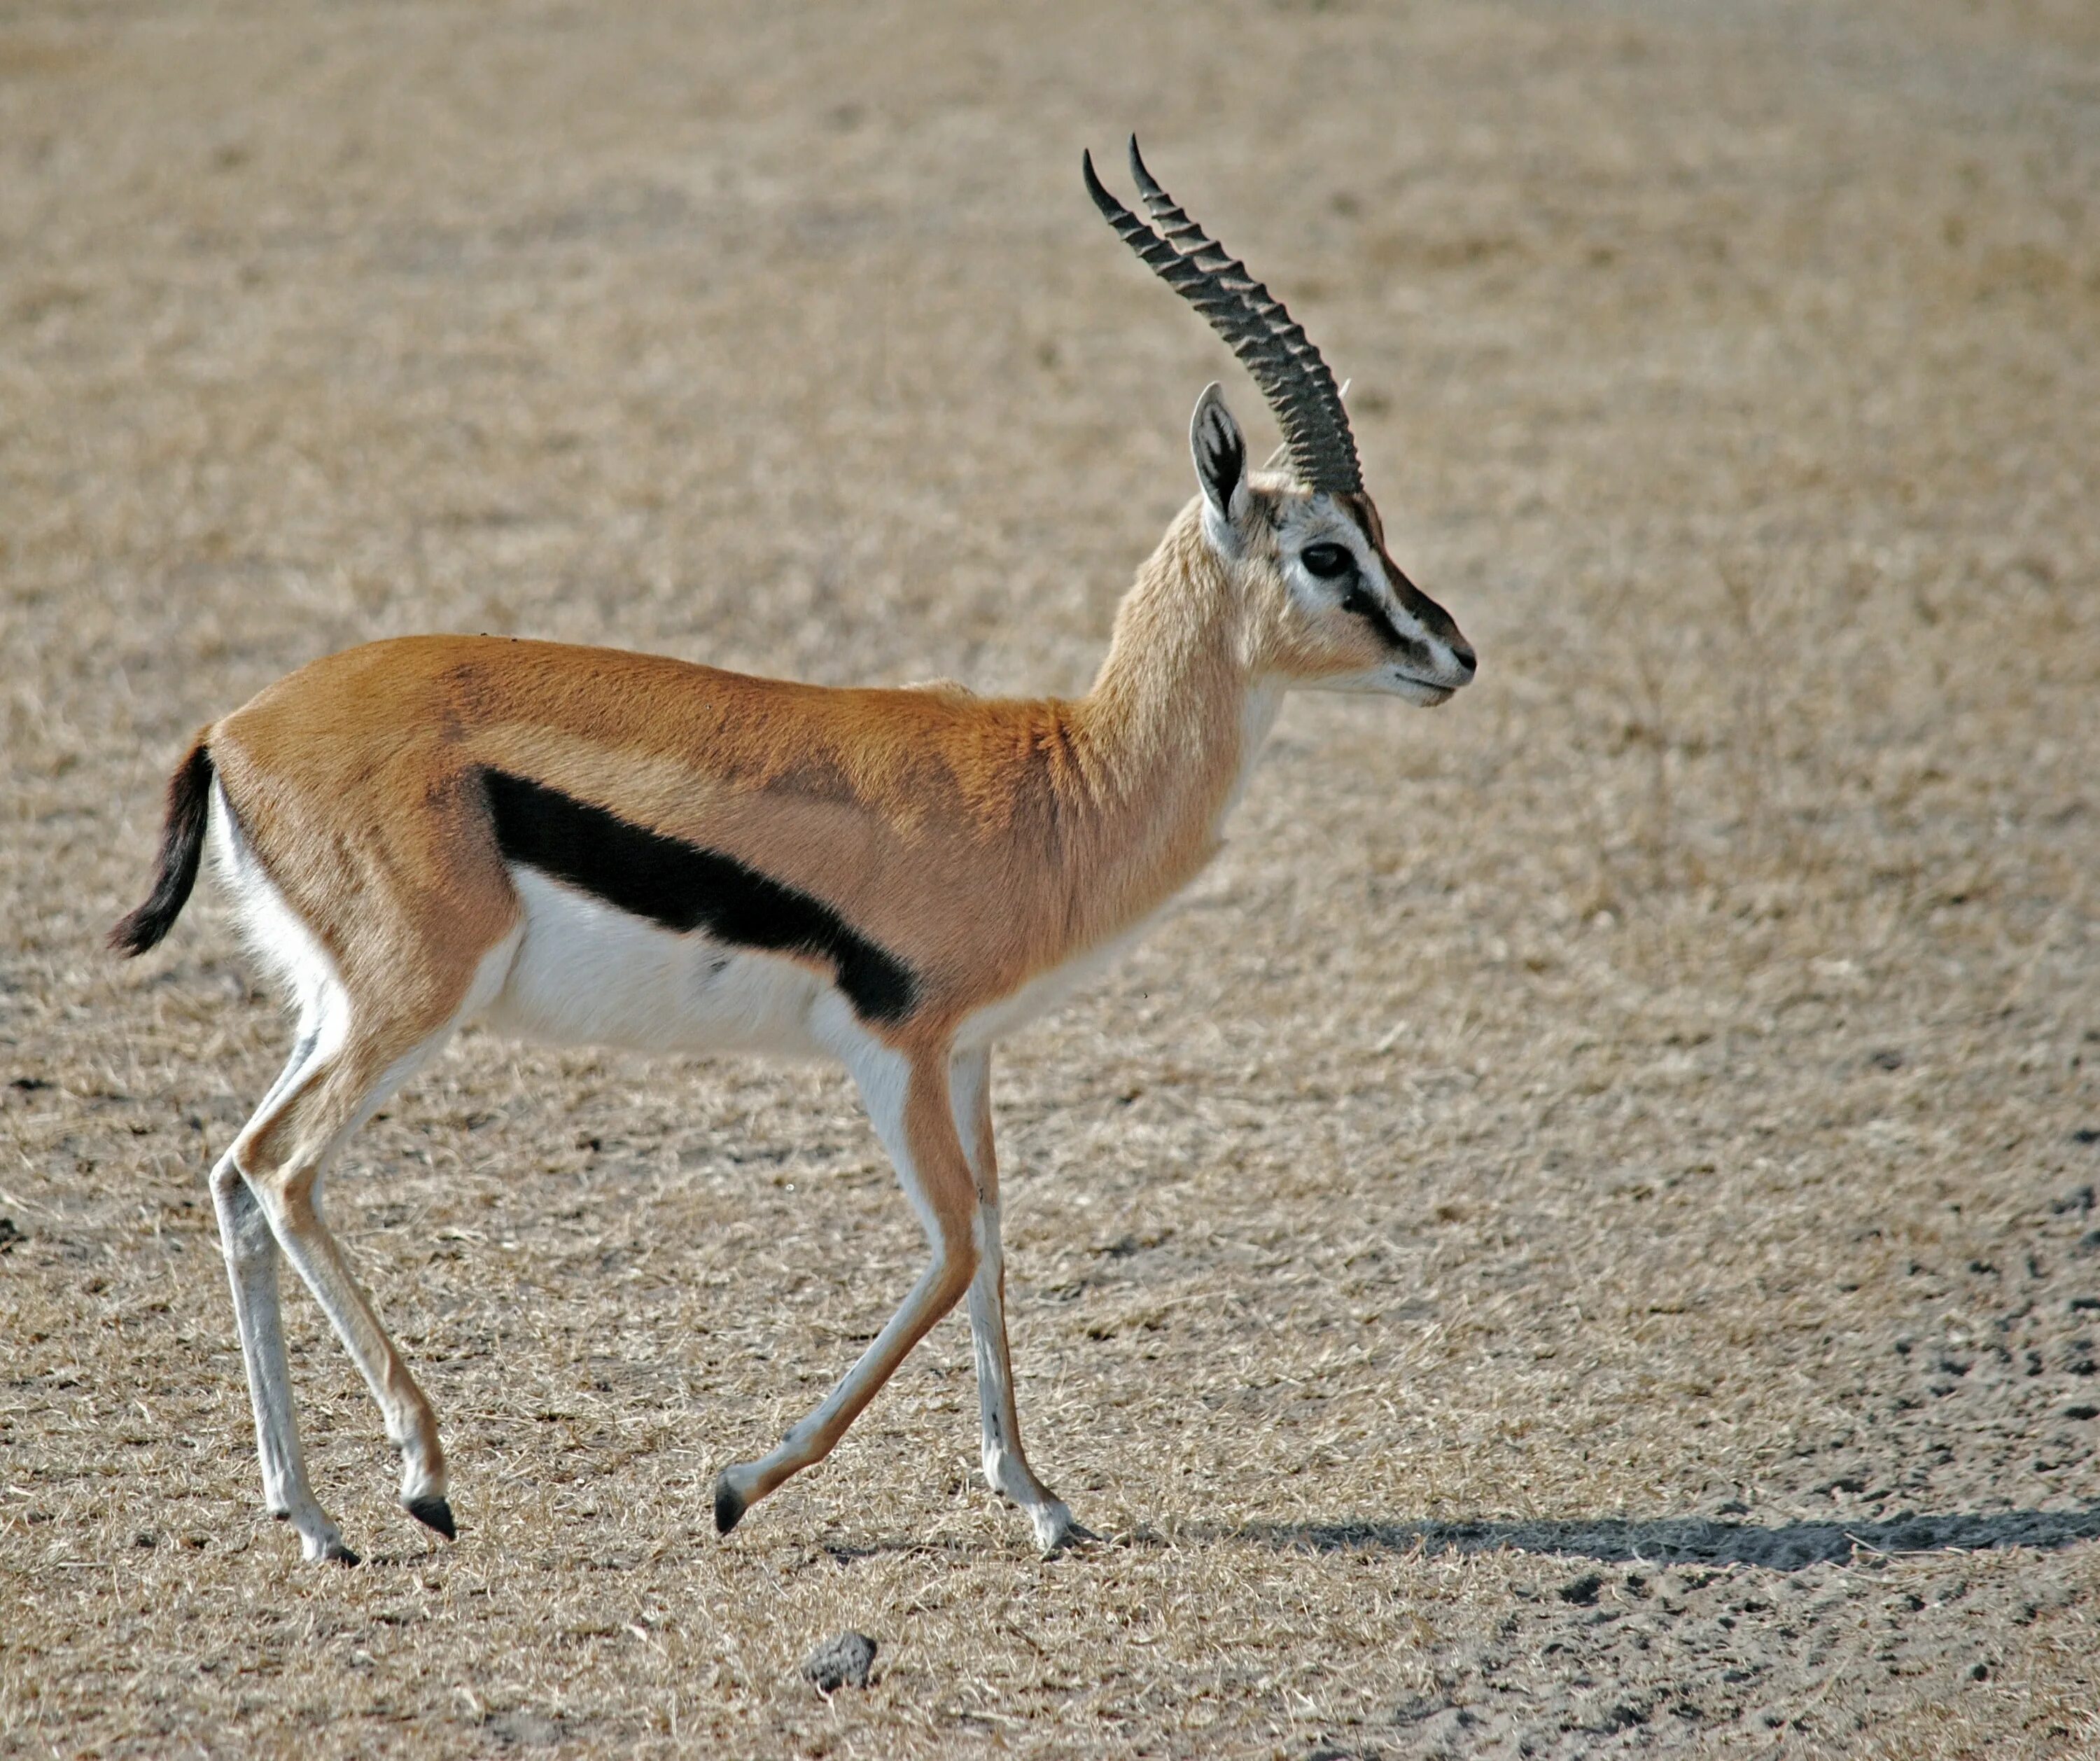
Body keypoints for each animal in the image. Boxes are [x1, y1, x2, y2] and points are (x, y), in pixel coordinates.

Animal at [106, 145, 1470, 1563]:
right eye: (1328, 552)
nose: (1454, 654)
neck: (1061, 779)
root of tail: (232, 728)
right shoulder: (894, 1050)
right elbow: (951, 1255)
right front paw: (738, 1483)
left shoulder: (967, 1055)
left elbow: (994, 1237)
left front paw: (1038, 1497)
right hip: (414, 1000)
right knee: (286, 1170)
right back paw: (421, 1475)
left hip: (336, 1006)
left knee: (233, 1173)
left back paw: (310, 1514)